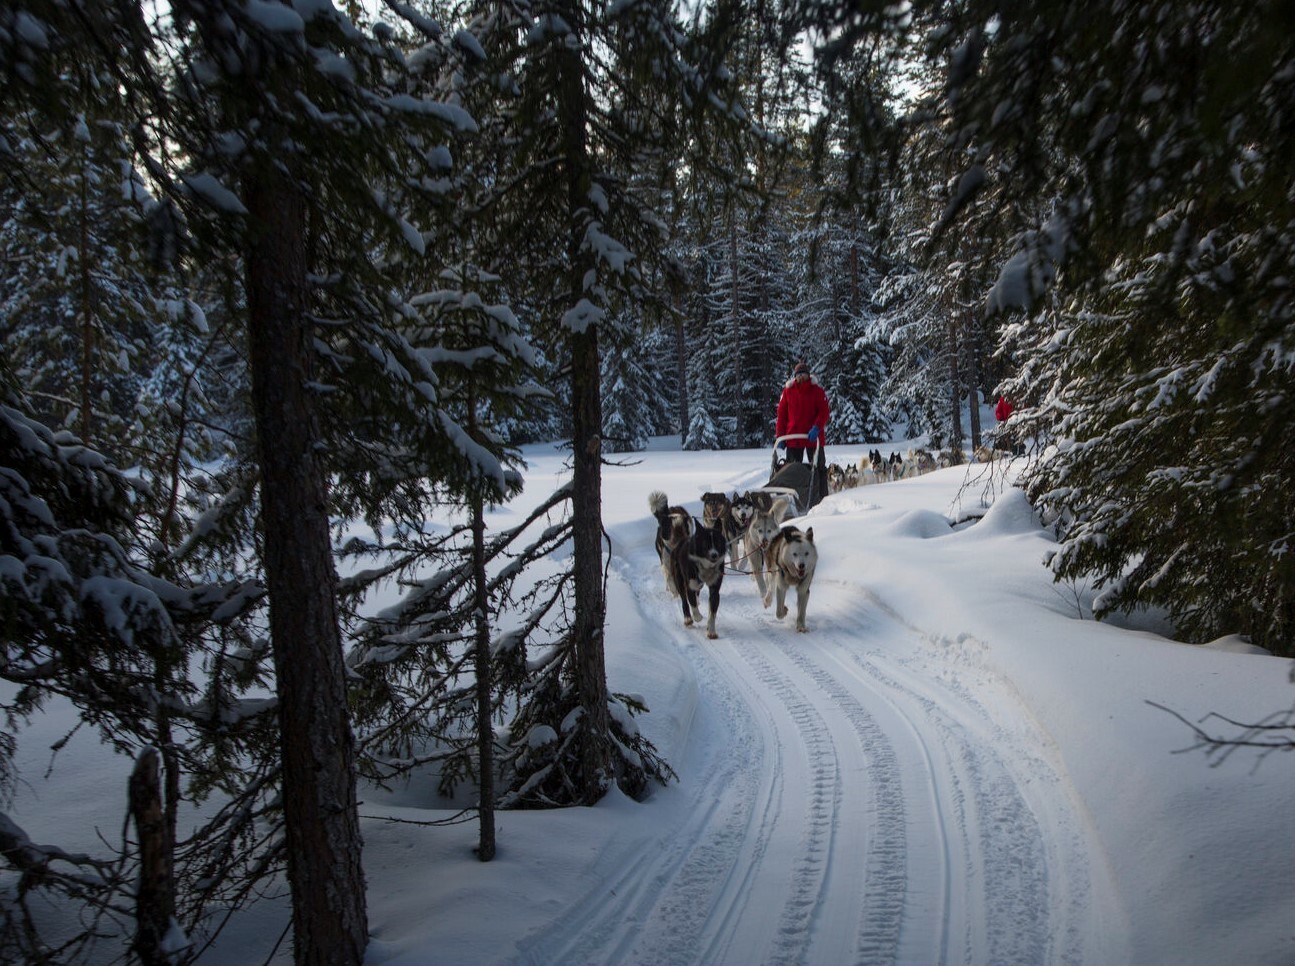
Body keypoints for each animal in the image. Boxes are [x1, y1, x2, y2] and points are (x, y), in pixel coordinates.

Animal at [647, 489, 730, 639]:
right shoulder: (686, 582)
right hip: (680, 578)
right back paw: (688, 619)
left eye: (718, 542)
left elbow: (712, 612)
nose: (714, 555)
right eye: (706, 544)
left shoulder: (714, 588)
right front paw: (697, 617)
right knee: (684, 601)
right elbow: (690, 602)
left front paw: (711, 631)